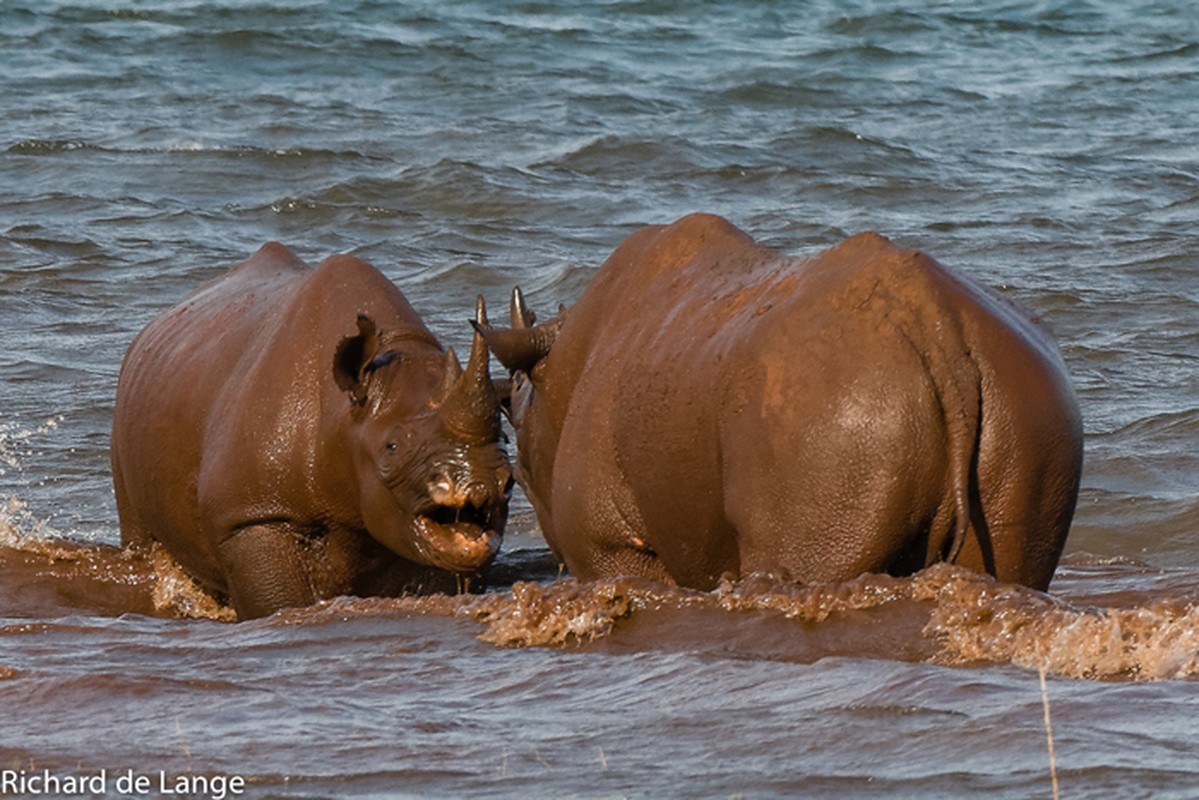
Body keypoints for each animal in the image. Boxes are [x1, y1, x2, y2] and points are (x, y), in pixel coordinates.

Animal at [114, 244, 517, 618]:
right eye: (391, 447)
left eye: (504, 441)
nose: (481, 483)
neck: (344, 417)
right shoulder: (251, 515)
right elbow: (277, 602)